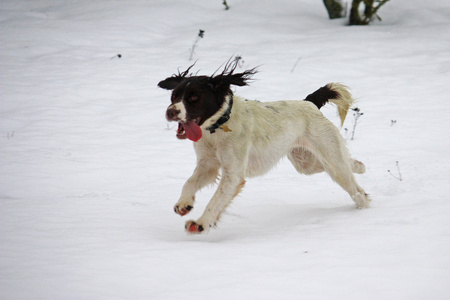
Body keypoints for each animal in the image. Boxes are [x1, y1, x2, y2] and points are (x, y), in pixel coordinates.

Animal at [158, 61, 370, 234]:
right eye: (174, 96)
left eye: (194, 98)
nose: (170, 112)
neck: (218, 128)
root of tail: (309, 103)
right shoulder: (208, 165)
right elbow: (189, 182)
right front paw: (184, 203)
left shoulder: (233, 174)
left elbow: (215, 200)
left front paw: (201, 223)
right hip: (306, 162)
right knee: (346, 166)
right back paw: (360, 167)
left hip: (331, 161)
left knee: (355, 190)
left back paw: (364, 209)